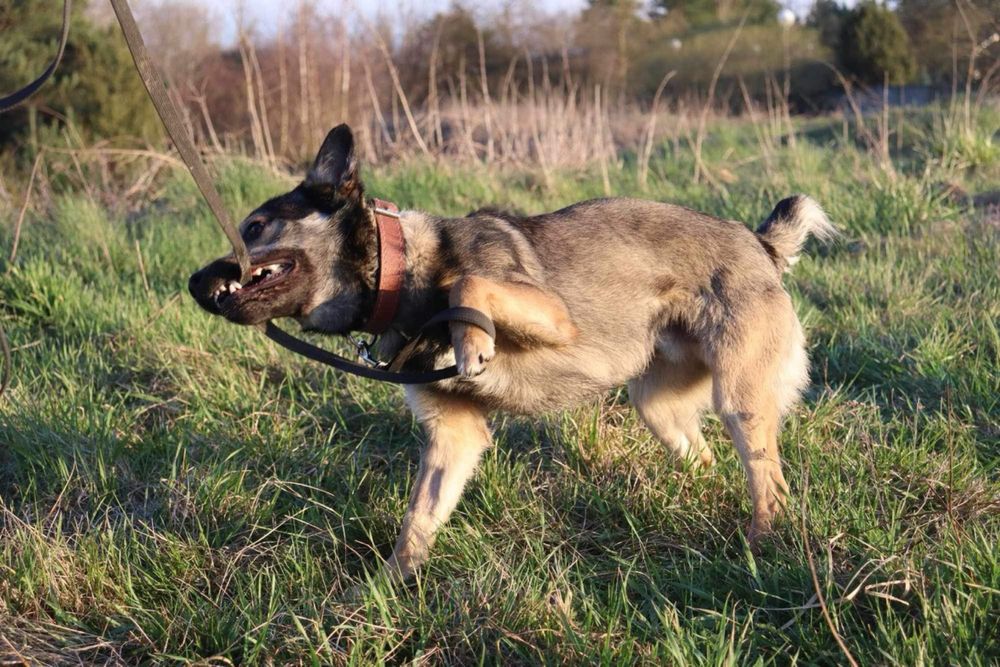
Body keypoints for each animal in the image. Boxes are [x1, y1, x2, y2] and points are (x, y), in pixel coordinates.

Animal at [188, 125, 836, 584]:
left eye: (256, 226)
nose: (194, 284)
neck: (404, 273)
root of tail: (758, 242)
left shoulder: (552, 315)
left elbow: (468, 284)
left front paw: (473, 338)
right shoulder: (454, 438)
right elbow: (417, 522)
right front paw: (381, 591)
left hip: (740, 402)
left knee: (769, 483)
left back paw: (758, 545)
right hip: (657, 406)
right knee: (702, 459)